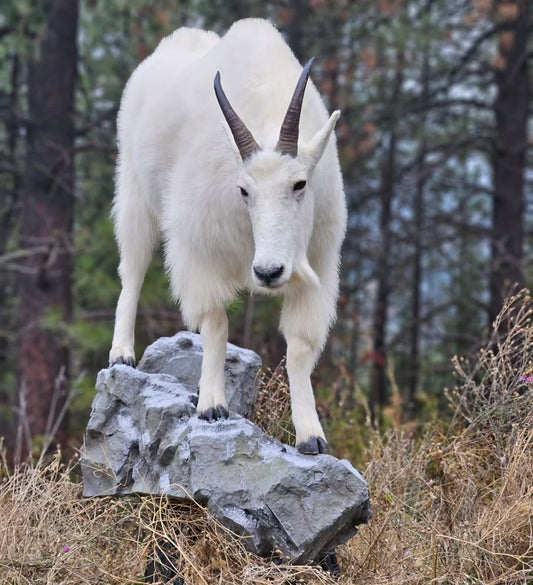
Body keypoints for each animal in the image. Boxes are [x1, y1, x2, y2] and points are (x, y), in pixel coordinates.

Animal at [110, 18, 348, 454]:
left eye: (300, 183)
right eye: (243, 190)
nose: (269, 273)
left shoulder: (318, 265)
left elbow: (300, 348)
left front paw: (311, 435)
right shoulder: (199, 251)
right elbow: (216, 323)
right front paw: (212, 405)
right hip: (134, 192)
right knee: (132, 270)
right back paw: (122, 354)